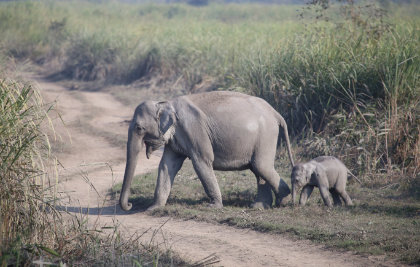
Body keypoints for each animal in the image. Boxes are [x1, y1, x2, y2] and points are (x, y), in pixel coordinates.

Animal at [120, 91, 294, 213]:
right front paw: (153, 208)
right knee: (257, 169)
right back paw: (259, 206)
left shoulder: (193, 129)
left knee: (261, 166)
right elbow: (167, 165)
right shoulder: (175, 138)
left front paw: (213, 207)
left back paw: (284, 201)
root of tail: (275, 113)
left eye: (139, 128)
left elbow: (202, 161)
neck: (165, 103)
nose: (130, 204)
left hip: (266, 135)